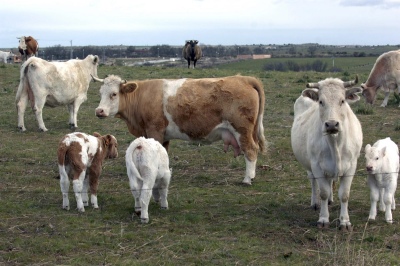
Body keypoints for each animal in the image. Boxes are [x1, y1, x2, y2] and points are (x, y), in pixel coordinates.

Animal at [94, 74, 266, 184]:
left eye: (114, 94)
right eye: (100, 93)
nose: (99, 111)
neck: (141, 96)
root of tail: (243, 78)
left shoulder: (154, 131)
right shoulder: (163, 136)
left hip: (242, 130)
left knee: (251, 150)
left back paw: (247, 179)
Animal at [290, 77, 362, 231]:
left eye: (342, 100)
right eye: (321, 101)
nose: (332, 124)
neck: (335, 143)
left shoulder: (352, 166)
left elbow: (344, 194)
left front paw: (345, 221)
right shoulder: (316, 165)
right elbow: (323, 192)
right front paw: (323, 219)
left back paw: (330, 200)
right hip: (310, 165)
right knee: (313, 182)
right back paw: (315, 203)